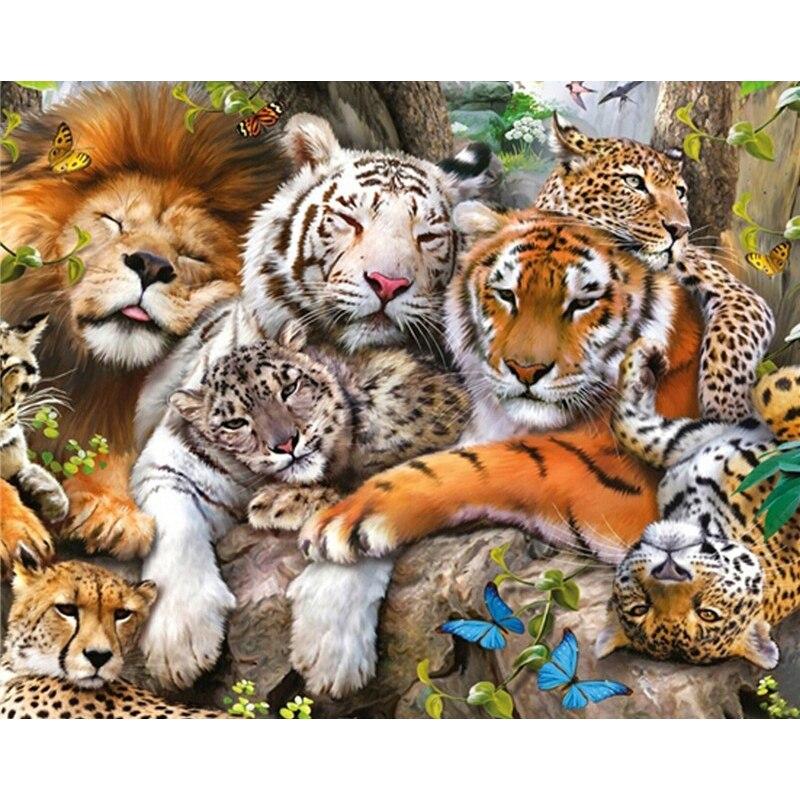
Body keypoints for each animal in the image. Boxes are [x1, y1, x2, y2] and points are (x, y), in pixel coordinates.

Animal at [131, 112, 492, 690]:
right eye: (349, 219)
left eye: (428, 235)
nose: (388, 282)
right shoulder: (171, 458)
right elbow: (174, 526)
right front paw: (179, 640)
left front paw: (329, 647)